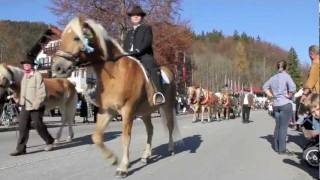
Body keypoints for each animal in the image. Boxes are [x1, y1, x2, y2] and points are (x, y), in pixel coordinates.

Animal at [51, 17, 179, 178]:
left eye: (76, 38)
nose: (57, 67)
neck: (116, 72)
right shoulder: (107, 111)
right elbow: (96, 137)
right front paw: (112, 159)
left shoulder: (127, 111)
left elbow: (126, 137)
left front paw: (123, 167)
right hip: (145, 112)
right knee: (150, 129)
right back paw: (145, 156)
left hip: (167, 106)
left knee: (169, 126)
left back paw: (171, 148)